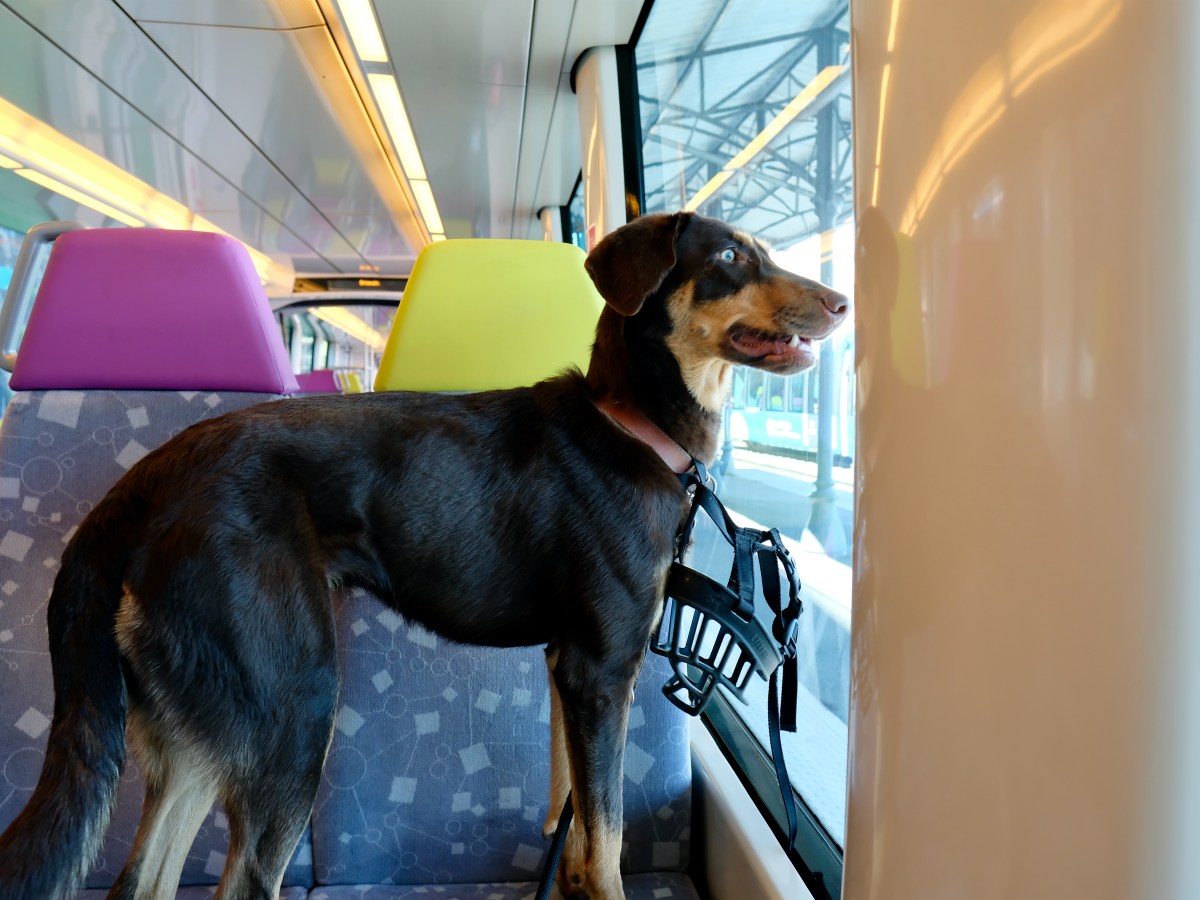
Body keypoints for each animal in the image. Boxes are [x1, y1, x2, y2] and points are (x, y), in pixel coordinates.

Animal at [0, 207, 849, 897]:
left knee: (142, 881)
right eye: (731, 258)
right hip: (293, 702)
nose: (842, 301)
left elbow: (570, 821)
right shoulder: (602, 673)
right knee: (243, 881)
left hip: (201, 727)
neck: (628, 424)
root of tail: (146, 476)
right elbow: (605, 843)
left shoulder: (565, 669)